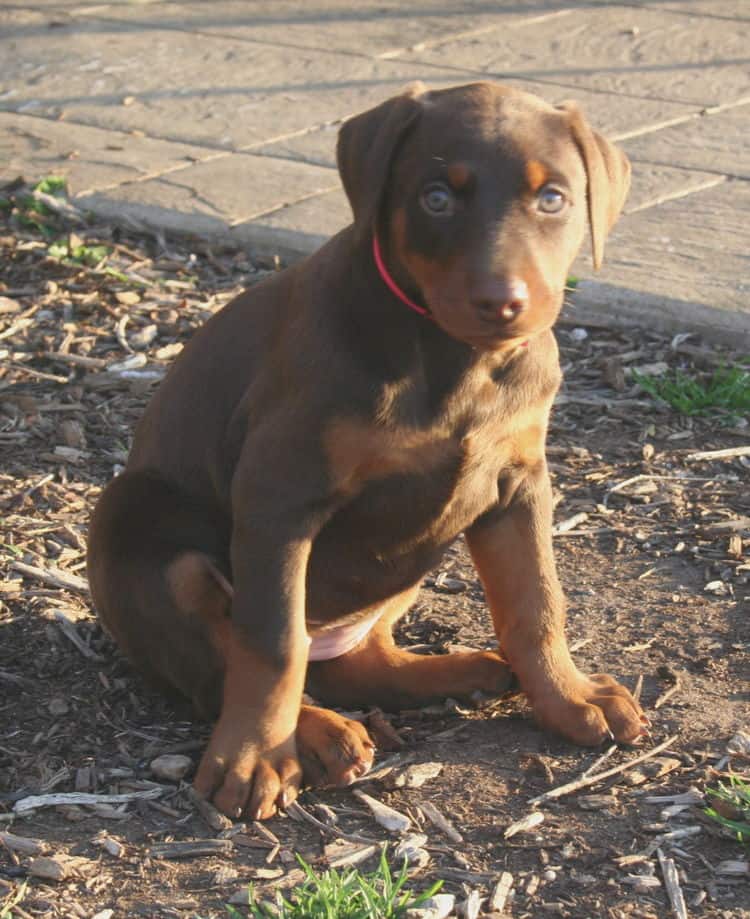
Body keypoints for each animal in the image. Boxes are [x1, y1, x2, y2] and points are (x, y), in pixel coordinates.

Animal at [85, 82, 644, 824]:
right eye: (436, 197)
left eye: (552, 197)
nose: (503, 303)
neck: (453, 357)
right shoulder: (279, 495)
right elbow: (270, 644)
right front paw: (256, 756)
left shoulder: (520, 483)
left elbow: (536, 601)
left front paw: (568, 695)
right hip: (138, 527)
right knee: (231, 664)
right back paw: (318, 734)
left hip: (402, 572)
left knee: (355, 663)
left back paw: (458, 673)